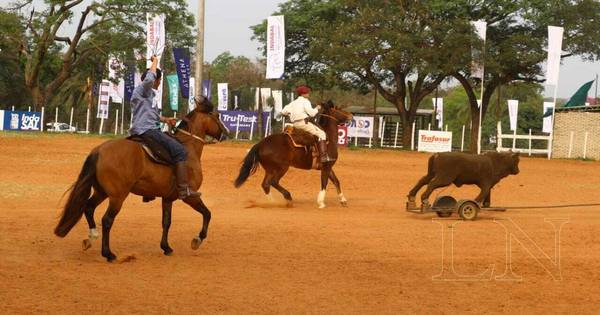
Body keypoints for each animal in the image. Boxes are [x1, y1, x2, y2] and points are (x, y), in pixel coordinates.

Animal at [54, 97, 227, 262]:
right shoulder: (190, 197)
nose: (226, 133)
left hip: (102, 192)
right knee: (107, 220)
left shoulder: (167, 198)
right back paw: (109, 254)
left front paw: (166, 247)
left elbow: (166, 222)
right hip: (117, 197)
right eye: (218, 116)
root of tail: (99, 151)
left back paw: (91, 238)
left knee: (88, 208)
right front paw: (197, 240)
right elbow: (207, 213)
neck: (188, 149)